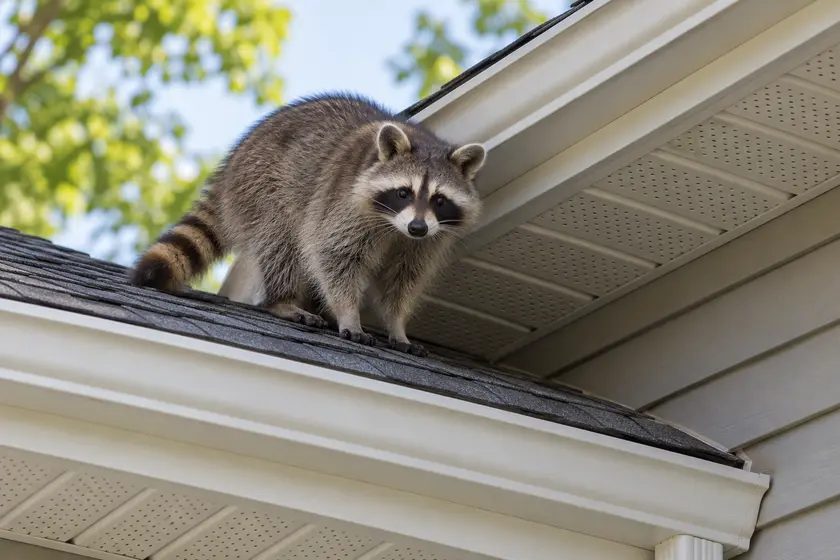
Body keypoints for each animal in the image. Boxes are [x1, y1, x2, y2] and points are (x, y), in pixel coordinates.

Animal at [129, 93, 485, 356]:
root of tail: (231, 166)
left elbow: (404, 279)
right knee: (281, 240)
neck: (394, 226)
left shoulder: (428, 240)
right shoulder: (342, 204)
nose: (417, 228)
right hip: (263, 187)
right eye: (403, 192)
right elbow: (334, 256)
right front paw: (348, 314)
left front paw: (397, 325)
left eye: (439, 200)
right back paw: (282, 300)